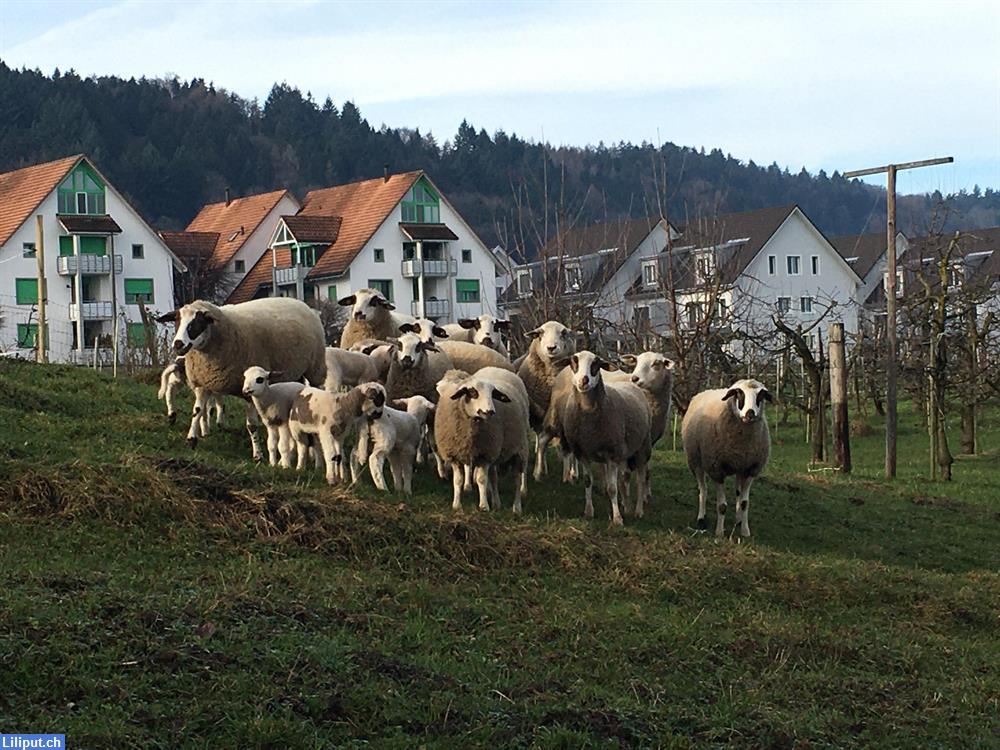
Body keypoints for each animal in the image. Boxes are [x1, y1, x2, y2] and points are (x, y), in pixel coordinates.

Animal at [157, 298, 324, 462]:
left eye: (197, 322)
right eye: (177, 320)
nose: (178, 344)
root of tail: (299, 302)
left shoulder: (250, 390)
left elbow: (252, 426)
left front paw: (258, 455)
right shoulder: (203, 384)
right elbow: (197, 411)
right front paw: (191, 439)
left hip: (315, 369)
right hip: (296, 374)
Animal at [436, 368, 532, 516]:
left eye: (493, 394)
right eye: (472, 392)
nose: (490, 411)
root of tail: (497, 369)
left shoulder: (485, 454)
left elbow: (481, 479)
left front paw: (483, 506)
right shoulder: (455, 455)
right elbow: (457, 481)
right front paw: (457, 505)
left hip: (519, 448)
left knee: (517, 478)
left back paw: (517, 506)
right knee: (494, 477)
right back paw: (497, 503)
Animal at [516, 320, 580, 478]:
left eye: (563, 333)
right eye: (541, 333)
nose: (551, 348)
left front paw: (573, 472)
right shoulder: (538, 414)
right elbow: (541, 441)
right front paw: (540, 469)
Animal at [552, 352, 652, 524]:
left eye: (596, 364)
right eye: (574, 361)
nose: (583, 380)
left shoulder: (611, 454)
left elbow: (612, 488)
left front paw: (617, 519)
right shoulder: (582, 453)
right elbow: (588, 481)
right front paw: (588, 512)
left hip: (642, 449)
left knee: (640, 480)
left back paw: (638, 511)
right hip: (624, 453)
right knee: (624, 479)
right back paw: (628, 507)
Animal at [680, 382, 772, 540]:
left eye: (761, 395)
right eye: (739, 394)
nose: (750, 414)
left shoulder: (751, 469)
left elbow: (745, 503)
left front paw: (745, 531)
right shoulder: (716, 469)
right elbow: (722, 506)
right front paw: (719, 533)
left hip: (740, 468)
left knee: (738, 493)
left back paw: (738, 520)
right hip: (695, 460)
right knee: (703, 490)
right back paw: (701, 519)